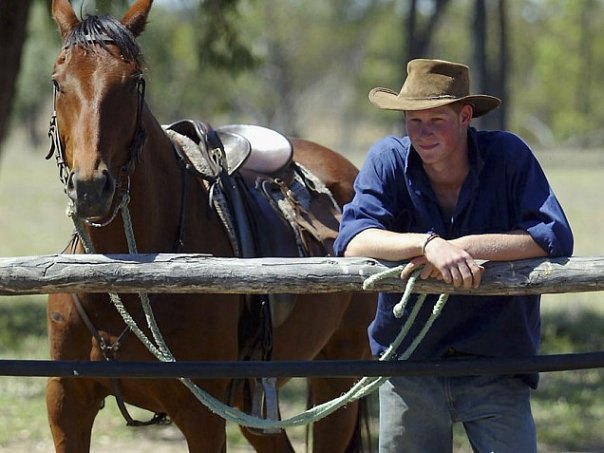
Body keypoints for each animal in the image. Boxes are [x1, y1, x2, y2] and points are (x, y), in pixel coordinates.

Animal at [47, 1, 376, 450]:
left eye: (134, 83)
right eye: (58, 82)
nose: (91, 187)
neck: (123, 276)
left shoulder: (202, 415)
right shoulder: (67, 405)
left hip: (338, 378)